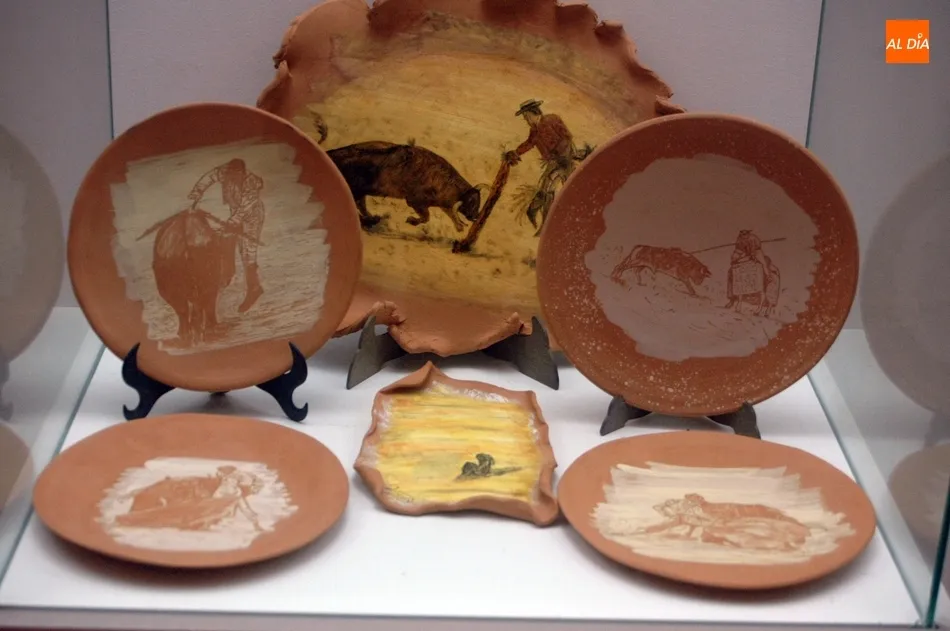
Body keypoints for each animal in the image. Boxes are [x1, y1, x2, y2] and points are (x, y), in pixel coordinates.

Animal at [140, 208, 239, 347]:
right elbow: (207, 306)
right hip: (206, 284)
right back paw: (202, 332)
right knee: (200, 307)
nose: (229, 275)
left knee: (184, 310)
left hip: (172, 289)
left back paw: (187, 335)